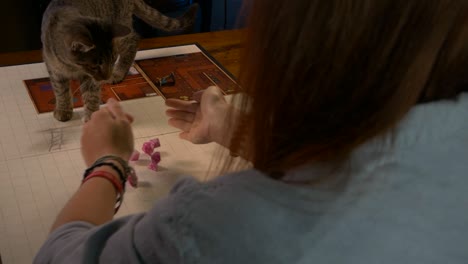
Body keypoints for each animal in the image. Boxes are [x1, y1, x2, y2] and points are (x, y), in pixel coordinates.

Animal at [40, 0, 199, 121]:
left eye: (111, 61)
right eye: (95, 66)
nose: (106, 76)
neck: (71, 66)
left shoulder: (90, 78)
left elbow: (91, 97)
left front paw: (92, 120)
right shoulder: (54, 70)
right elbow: (61, 92)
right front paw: (63, 110)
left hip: (121, 32)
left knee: (134, 39)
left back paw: (119, 72)